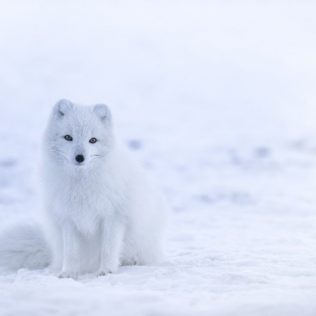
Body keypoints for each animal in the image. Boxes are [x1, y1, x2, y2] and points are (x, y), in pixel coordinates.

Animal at [0, 100, 168, 278]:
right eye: (68, 137)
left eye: (92, 140)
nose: (80, 157)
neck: (81, 184)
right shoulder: (68, 219)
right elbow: (71, 252)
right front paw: (68, 273)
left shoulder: (113, 216)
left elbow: (108, 249)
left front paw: (106, 270)